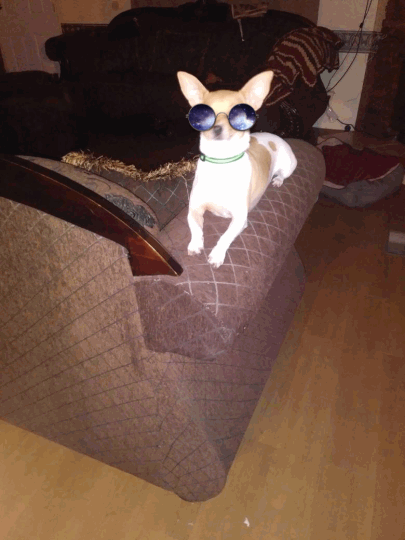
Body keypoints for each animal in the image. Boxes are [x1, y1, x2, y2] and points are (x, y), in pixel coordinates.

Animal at [177, 70, 297, 268]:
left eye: (238, 116)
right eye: (202, 115)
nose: (217, 128)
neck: (221, 162)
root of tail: (276, 137)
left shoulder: (240, 219)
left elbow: (225, 237)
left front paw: (217, 255)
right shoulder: (195, 208)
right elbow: (195, 226)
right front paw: (195, 244)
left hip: (288, 166)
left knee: (283, 175)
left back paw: (278, 180)